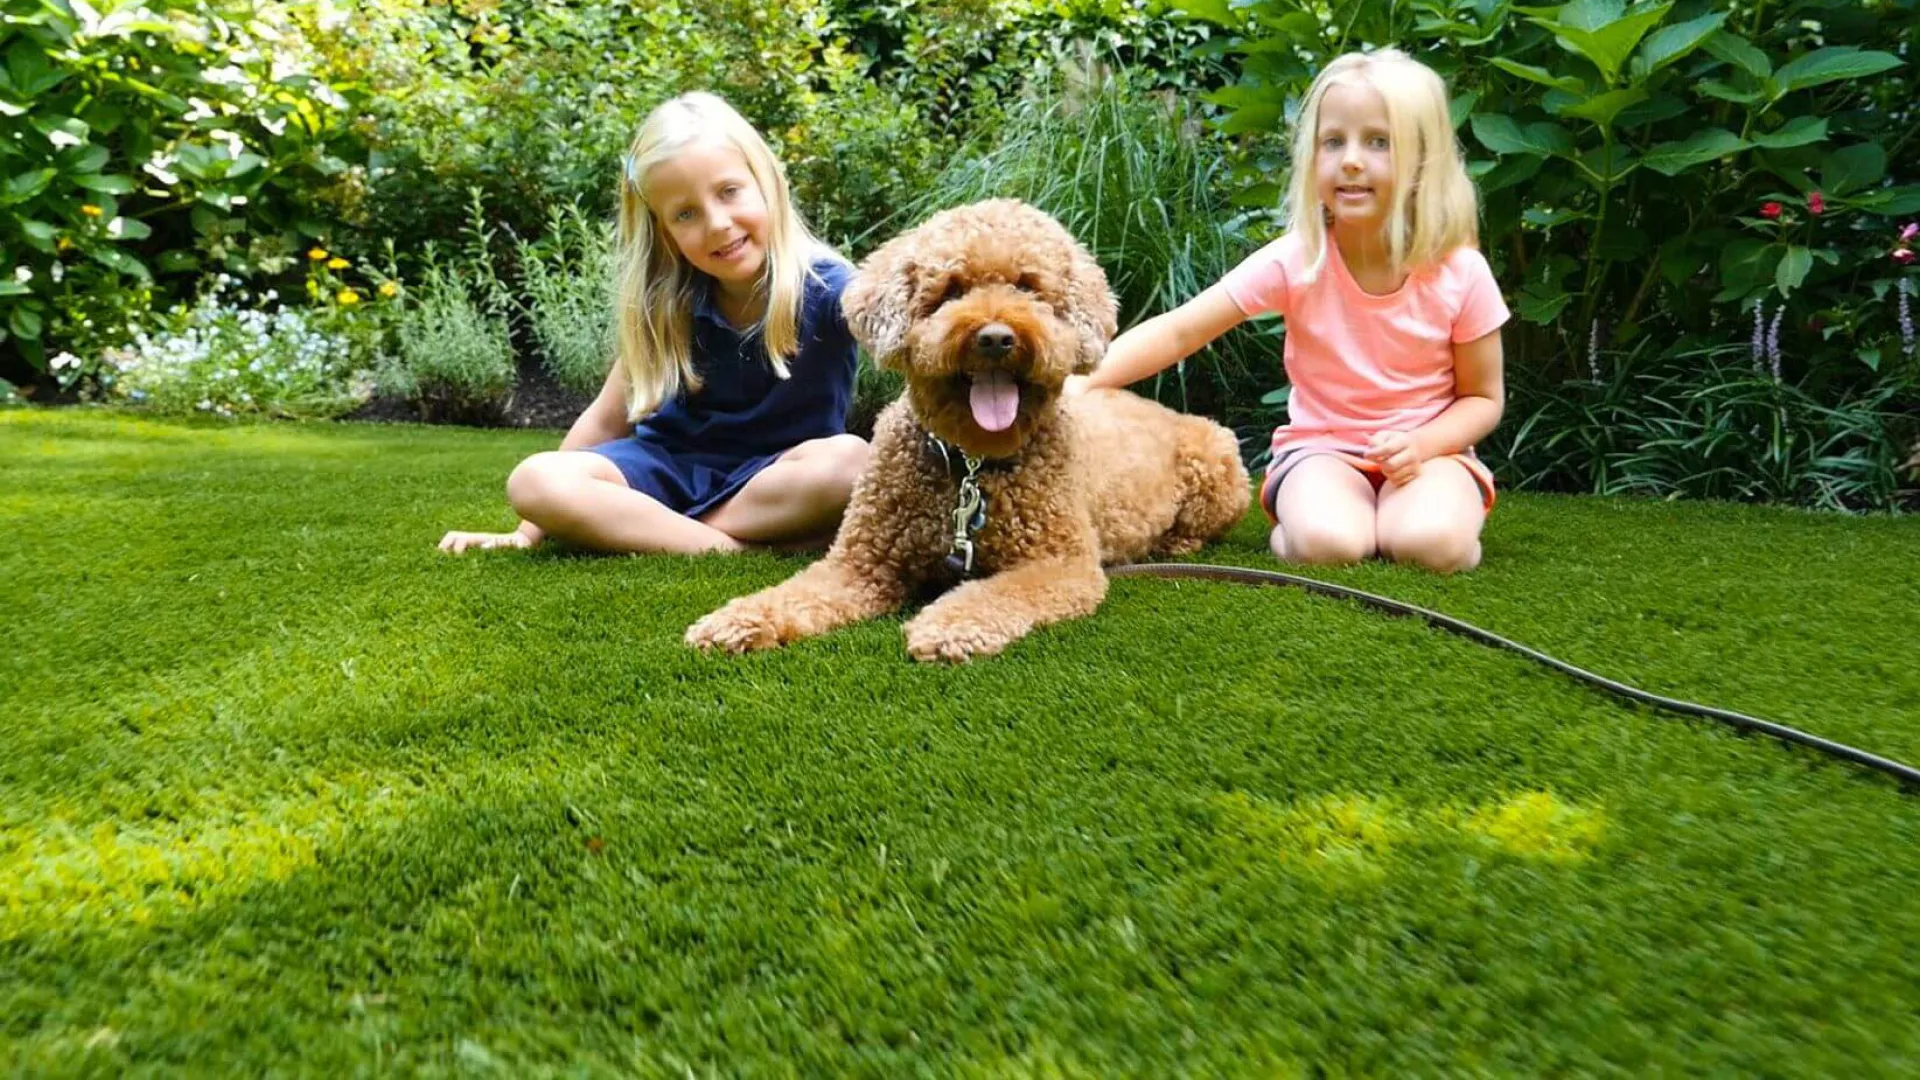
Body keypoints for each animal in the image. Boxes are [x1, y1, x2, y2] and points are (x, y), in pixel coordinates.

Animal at [683, 197, 1251, 661]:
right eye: (951, 290)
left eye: (1027, 286)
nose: (996, 338)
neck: (971, 464)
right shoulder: (859, 564)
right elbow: (798, 593)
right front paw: (739, 620)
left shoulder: (1060, 563)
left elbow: (996, 593)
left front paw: (952, 626)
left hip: (1220, 459)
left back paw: (1177, 544)